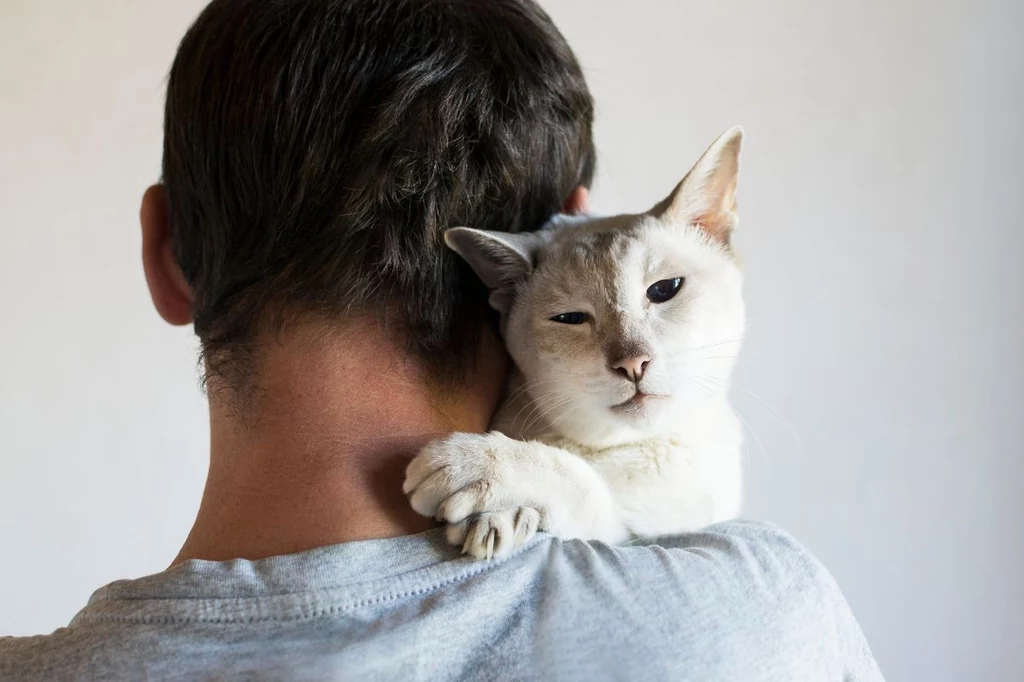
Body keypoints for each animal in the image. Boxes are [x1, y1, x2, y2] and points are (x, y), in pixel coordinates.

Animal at [403, 125, 749, 557]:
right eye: (570, 319)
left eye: (664, 290)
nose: (632, 363)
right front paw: (495, 518)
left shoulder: (641, 534)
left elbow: (578, 477)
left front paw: (475, 473)